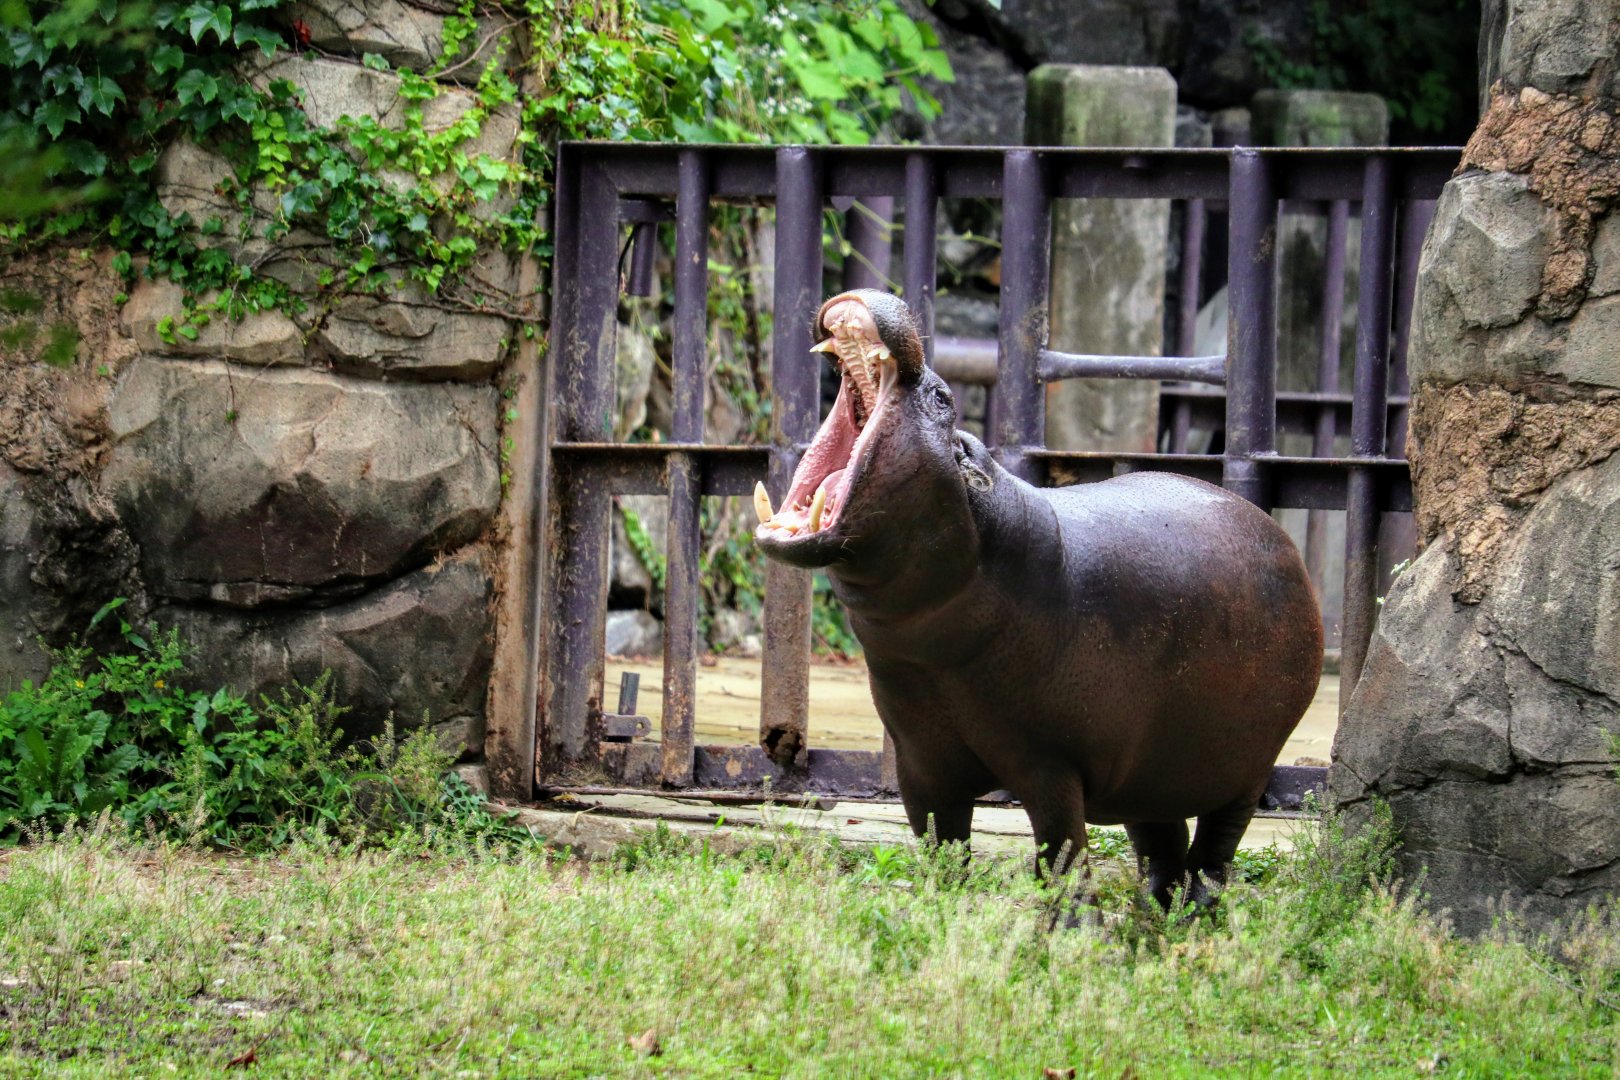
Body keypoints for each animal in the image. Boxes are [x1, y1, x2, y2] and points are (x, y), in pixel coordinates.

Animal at [754, 289, 1322, 910]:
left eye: (943, 398)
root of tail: (1279, 535)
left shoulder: (1048, 762)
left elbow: (1061, 854)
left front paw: (1071, 926)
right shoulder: (921, 765)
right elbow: (941, 848)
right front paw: (942, 910)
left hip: (1248, 768)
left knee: (1216, 848)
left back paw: (1195, 913)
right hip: (1146, 768)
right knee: (1162, 840)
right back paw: (1154, 913)